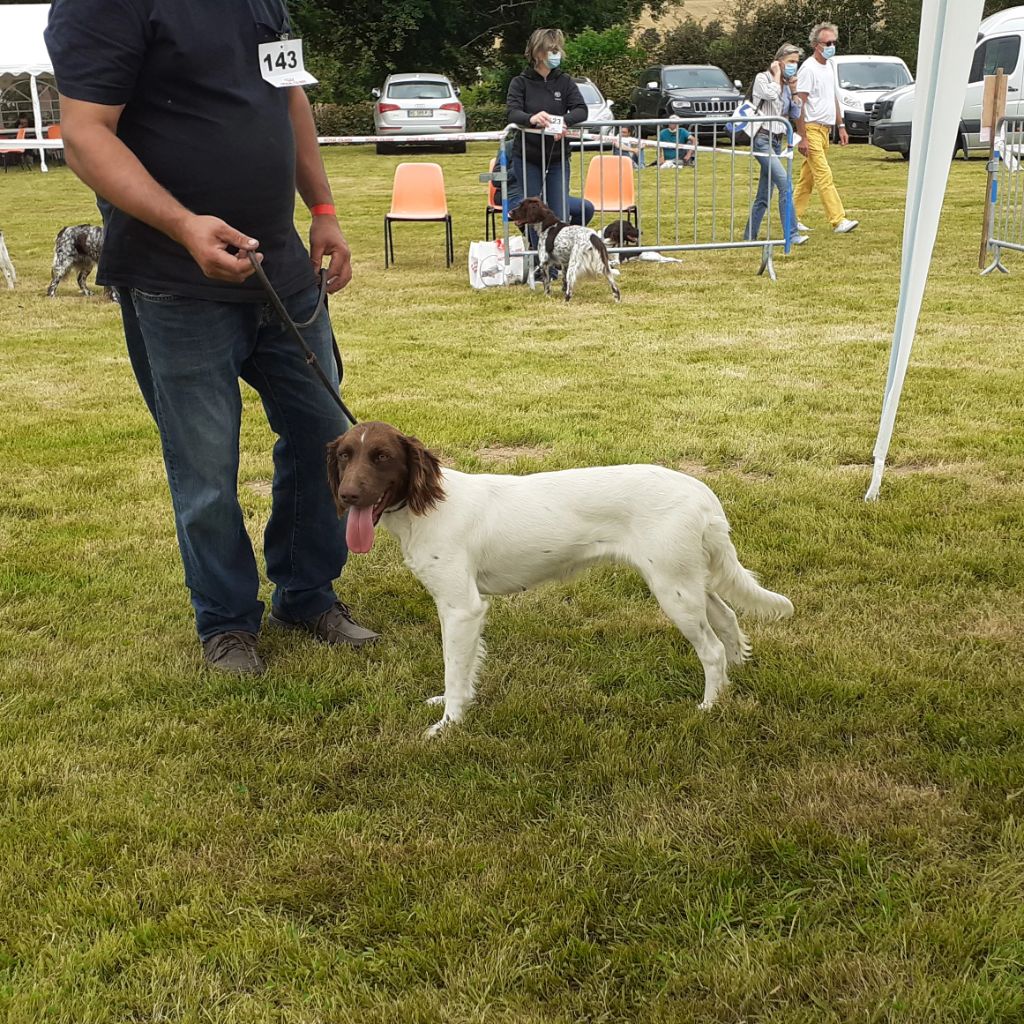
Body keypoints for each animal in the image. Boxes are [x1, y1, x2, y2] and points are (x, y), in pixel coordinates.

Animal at [325, 421, 790, 737]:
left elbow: (454, 670)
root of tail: (701, 492)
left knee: (711, 649)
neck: (428, 507)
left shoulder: (461, 608)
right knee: (728, 620)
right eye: (346, 455)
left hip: (674, 589)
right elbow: (462, 671)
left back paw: (709, 706)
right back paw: (732, 679)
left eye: (382, 456)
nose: (347, 495)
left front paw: (448, 725)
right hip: (687, 580)